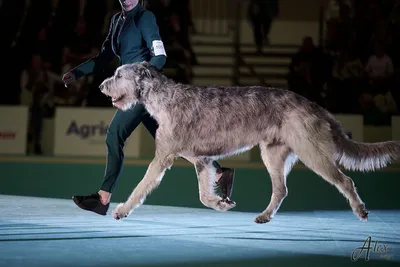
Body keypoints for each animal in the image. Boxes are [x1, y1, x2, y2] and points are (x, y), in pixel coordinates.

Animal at [99, 61, 400, 223]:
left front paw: (122, 210)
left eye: (118, 75)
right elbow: (204, 194)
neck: (164, 100)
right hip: (273, 154)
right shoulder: (202, 160)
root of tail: (315, 106)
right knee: (281, 189)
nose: (101, 85)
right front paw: (221, 203)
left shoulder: (163, 157)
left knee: (345, 181)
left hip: (312, 153)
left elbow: (140, 186)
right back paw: (265, 216)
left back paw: (360, 210)